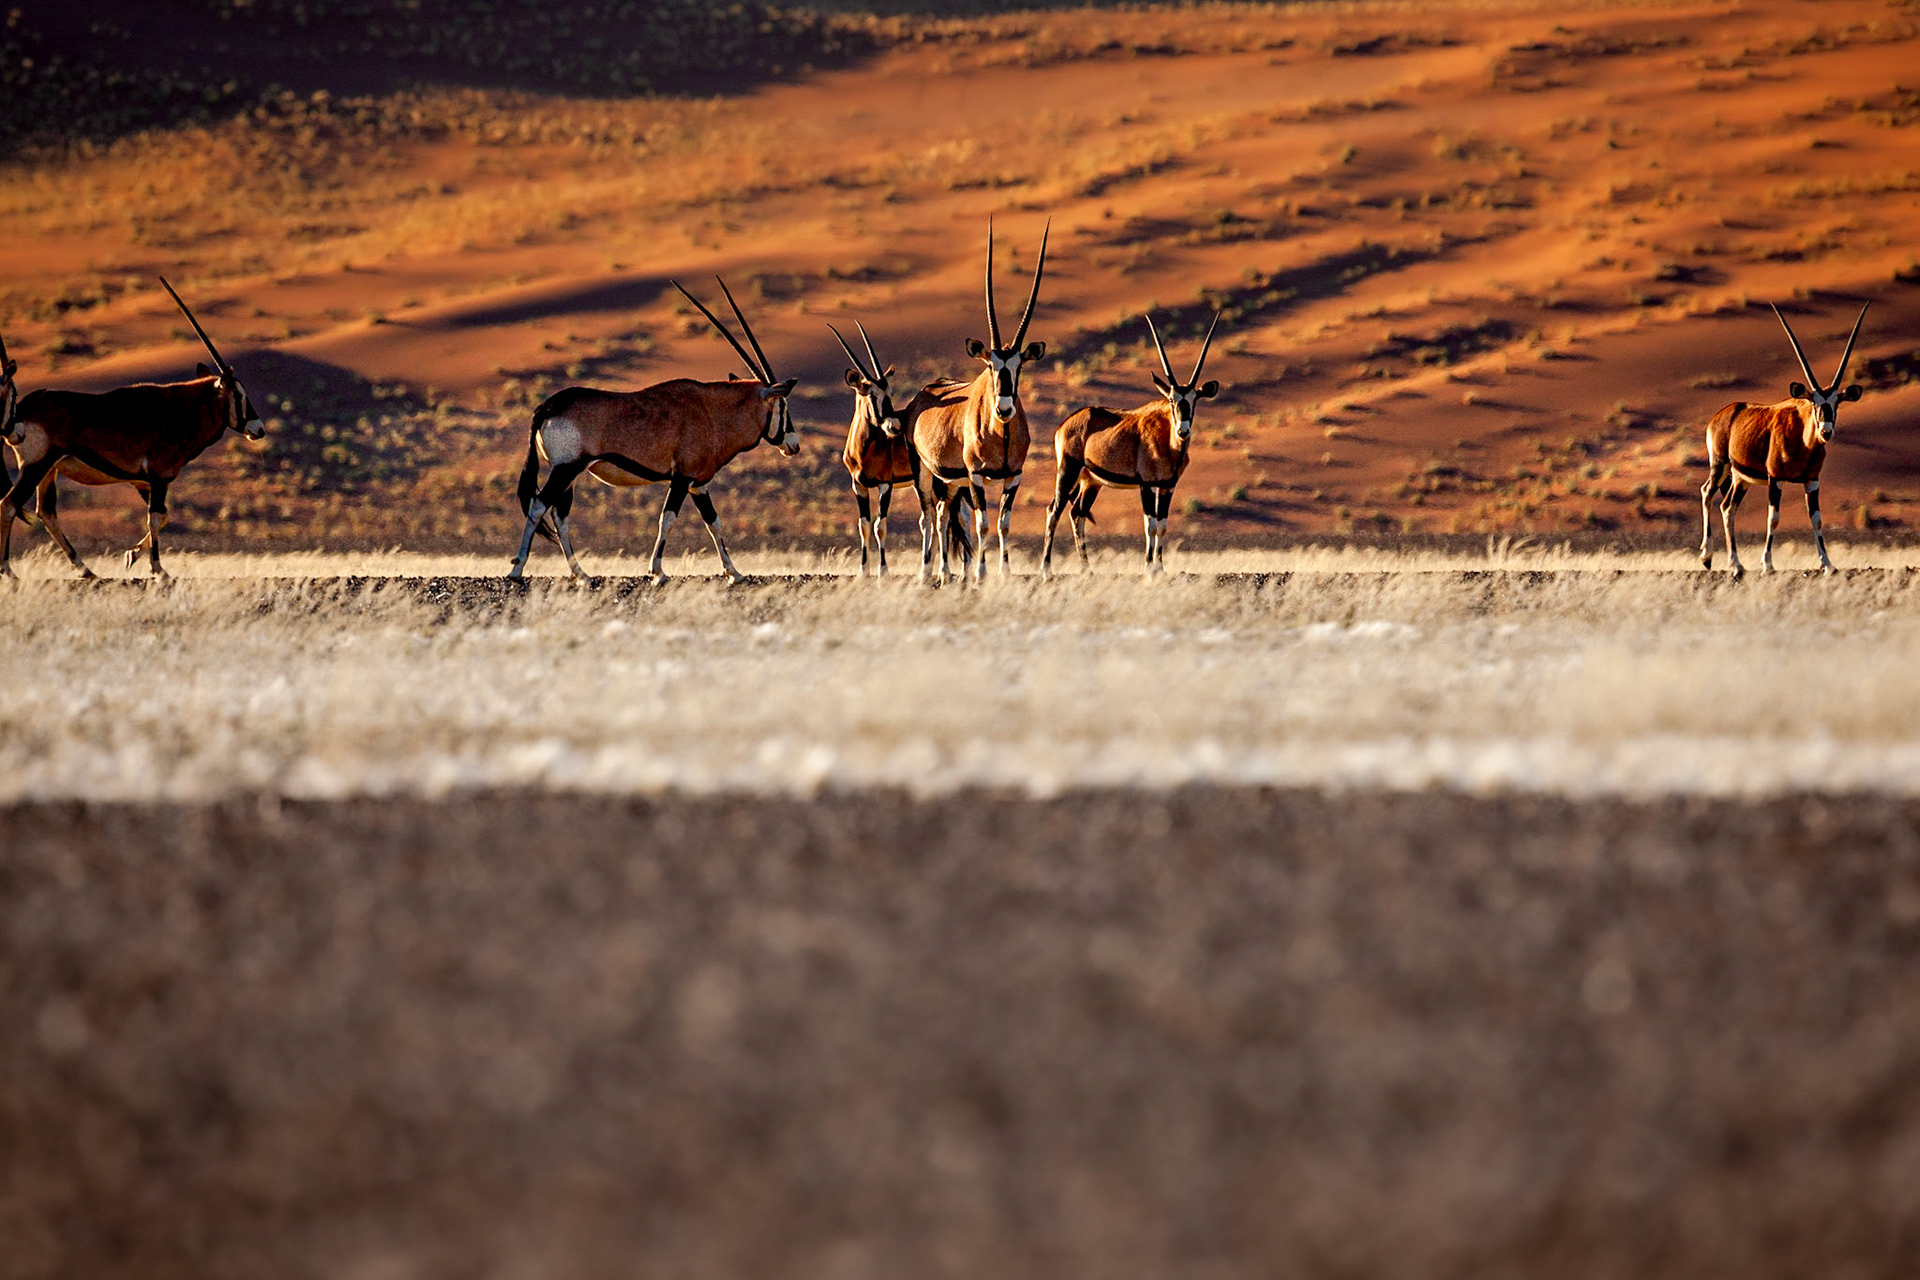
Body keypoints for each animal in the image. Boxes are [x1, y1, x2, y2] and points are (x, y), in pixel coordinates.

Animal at [1, 279, 264, 579]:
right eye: (239, 395)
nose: (259, 428)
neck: (182, 410)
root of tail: (21, 410)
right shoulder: (158, 477)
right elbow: (156, 518)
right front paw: (157, 569)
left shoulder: (143, 481)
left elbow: (164, 516)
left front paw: (131, 555)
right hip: (36, 466)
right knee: (9, 505)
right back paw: (9, 570)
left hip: (48, 470)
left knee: (46, 513)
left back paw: (86, 570)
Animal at [508, 277, 798, 582]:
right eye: (783, 405)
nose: (794, 444)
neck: (712, 411)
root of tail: (547, 407)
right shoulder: (682, 477)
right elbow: (667, 518)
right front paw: (657, 570)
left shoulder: (699, 484)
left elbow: (714, 523)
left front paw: (734, 573)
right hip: (566, 469)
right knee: (538, 506)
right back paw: (517, 568)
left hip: (570, 474)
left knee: (559, 515)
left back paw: (581, 574)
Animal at [910, 218, 1049, 582]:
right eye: (990, 365)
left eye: (1019, 366)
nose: (1004, 409)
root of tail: (924, 394)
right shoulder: (975, 476)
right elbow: (983, 524)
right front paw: (982, 575)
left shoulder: (1013, 476)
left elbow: (1003, 525)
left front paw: (1004, 572)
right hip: (925, 473)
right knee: (927, 517)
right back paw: (926, 573)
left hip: (950, 482)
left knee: (943, 515)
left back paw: (946, 573)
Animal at [1043, 311, 1221, 577]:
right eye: (1171, 400)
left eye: (1194, 400)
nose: (1183, 431)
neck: (1168, 442)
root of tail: (1065, 423)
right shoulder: (1146, 484)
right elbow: (1150, 524)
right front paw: (1148, 568)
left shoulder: (1168, 487)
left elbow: (1163, 525)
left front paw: (1160, 568)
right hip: (1068, 471)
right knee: (1054, 510)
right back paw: (1046, 570)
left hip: (1091, 481)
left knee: (1077, 512)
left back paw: (1087, 569)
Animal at [1700, 301, 1868, 577]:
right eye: (1814, 402)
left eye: (1836, 403)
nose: (1826, 432)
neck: (1803, 442)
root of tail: (1722, 414)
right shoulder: (1775, 478)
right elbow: (1773, 518)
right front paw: (1767, 564)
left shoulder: (1812, 480)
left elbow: (1816, 519)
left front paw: (1827, 564)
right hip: (1720, 465)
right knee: (1707, 493)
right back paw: (1707, 557)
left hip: (1740, 479)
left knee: (1727, 507)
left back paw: (1736, 564)